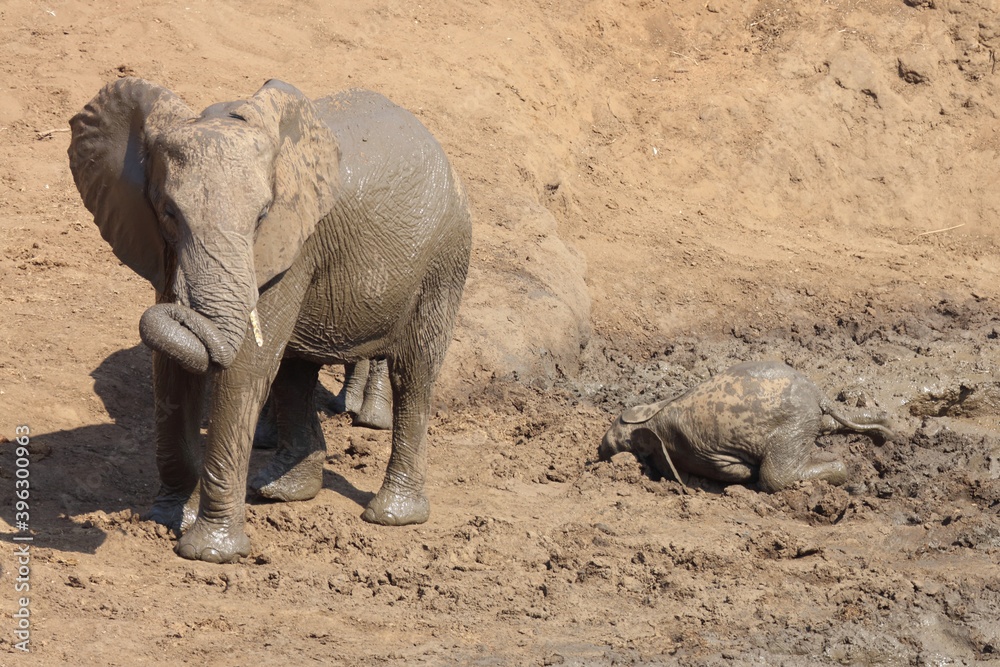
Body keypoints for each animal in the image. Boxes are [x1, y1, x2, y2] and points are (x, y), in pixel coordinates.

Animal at [68, 77, 472, 563]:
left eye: (262, 216)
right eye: (168, 212)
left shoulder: (293, 242)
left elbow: (245, 369)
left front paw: (209, 553)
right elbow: (171, 370)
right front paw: (165, 519)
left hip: (445, 255)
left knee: (413, 372)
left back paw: (392, 514)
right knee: (295, 373)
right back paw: (283, 491)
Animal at [600, 361, 895, 492]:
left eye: (626, 443)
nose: (599, 451)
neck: (654, 413)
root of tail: (817, 393)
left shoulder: (690, 450)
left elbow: (742, 472)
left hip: (794, 423)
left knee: (774, 477)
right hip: (808, 418)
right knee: (829, 422)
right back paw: (887, 426)